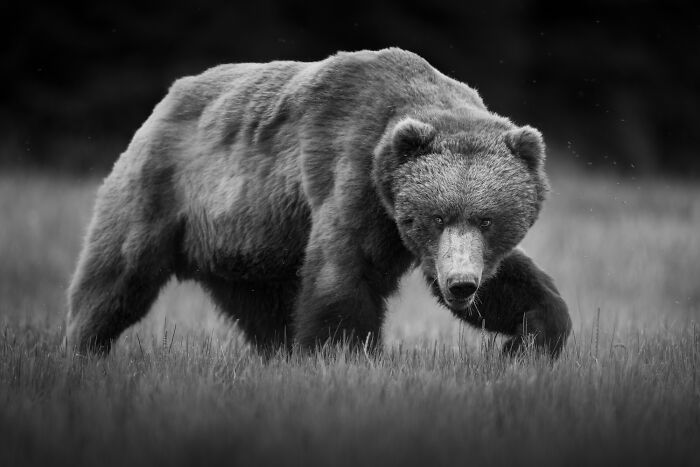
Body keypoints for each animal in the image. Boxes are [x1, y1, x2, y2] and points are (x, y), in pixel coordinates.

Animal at [66, 48, 571, 357]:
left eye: (487, 219)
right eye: (436, 216)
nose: (461, 284)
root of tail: (165, 99)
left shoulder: (452, 246)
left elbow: (516, 286)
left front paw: (526, 341)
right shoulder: (352, 180)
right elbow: (344, 276)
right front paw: (342, 355)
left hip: (248, 243)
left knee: (265, 308)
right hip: (165, 189)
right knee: (117, 275)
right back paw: (82, 346)